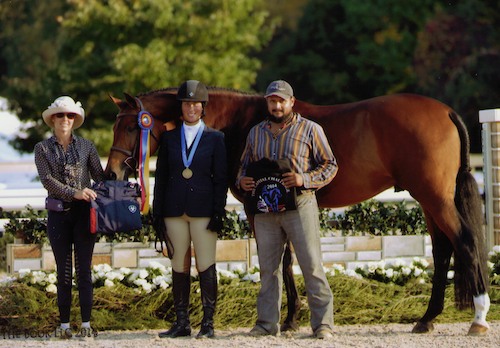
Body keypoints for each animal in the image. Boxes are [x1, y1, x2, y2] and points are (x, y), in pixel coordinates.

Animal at [103, 86, 490, 334]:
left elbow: (280, 260)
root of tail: (445, 111)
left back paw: (478, 317)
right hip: (428, 200)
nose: (113, 173)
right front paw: (290, 318)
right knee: (442, 251)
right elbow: (288, 259)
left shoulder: (255, 205)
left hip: (434, 198)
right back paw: (427, 319)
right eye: (116, 124)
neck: (241, 121)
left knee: (465, 242)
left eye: (131, 125)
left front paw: (287, 319)